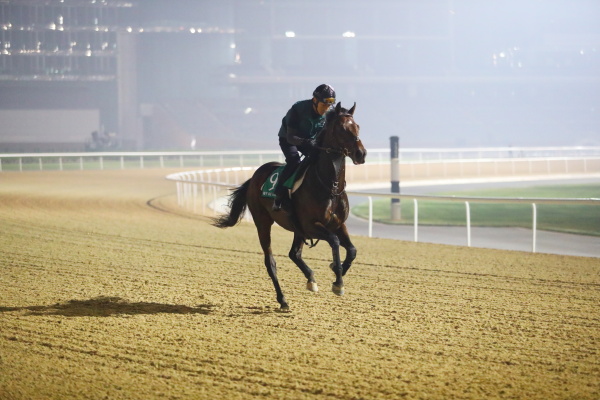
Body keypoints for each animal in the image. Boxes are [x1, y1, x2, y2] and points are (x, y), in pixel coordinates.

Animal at [213, 102, 368, 310]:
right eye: (342, 129)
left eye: (357, 126)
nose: (361, 153)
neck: (329, 186)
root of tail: (254, 177)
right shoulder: (312, 226)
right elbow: (335, 241)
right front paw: (338, 282)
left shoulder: (338, 224)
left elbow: (352, 250)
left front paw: (338, 270)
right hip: (263, 223)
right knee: (270, 262)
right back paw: (283, 299)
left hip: (297, 228)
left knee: (294, 254)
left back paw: (311, 279)